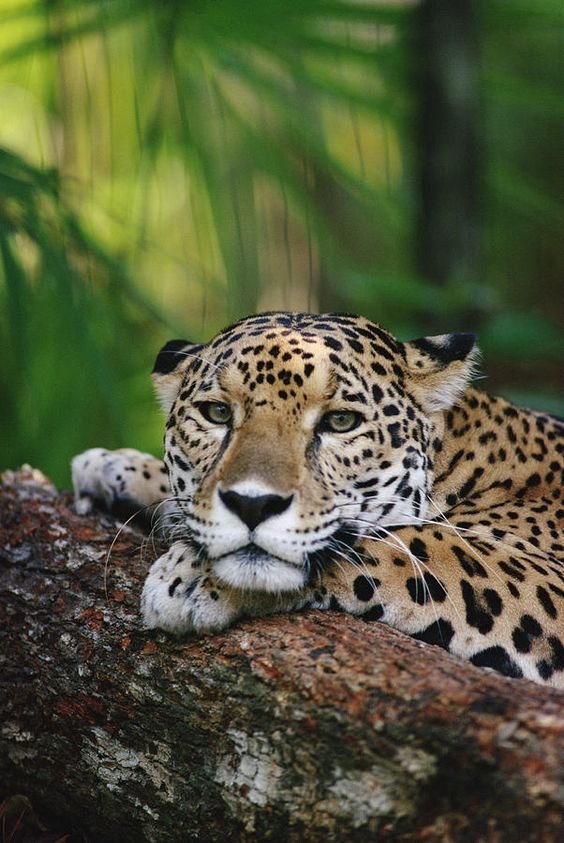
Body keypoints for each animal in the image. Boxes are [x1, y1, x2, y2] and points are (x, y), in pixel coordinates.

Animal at [72, 312, 564, 687]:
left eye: (340, 421)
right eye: (216, 413)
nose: (252, 505)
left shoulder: (545, 580)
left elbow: (415, 544)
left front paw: (192, 578)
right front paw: (114, 467)